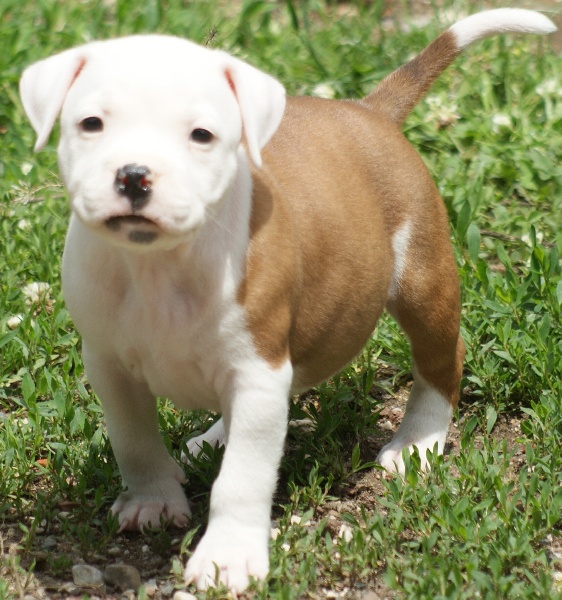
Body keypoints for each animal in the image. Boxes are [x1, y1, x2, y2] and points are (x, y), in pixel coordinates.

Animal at [19, 8, 555, 593]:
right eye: (91, 124)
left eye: (202, 135)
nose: (134, 174)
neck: (158, 265)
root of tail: (368, 112)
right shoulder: (111, 366)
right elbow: (133, 440)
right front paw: (153, 501)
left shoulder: (257, 369)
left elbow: (243, 479)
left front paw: (228, 557)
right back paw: (212, 438)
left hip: (422, 276)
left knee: (441, 358)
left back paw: (418, 442)